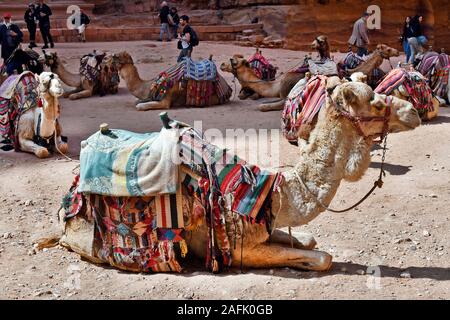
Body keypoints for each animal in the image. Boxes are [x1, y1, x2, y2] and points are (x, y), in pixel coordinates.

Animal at [53, 79, 422, 272]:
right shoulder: (242, 249)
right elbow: (323, 257)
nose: (413, 111)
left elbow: (309, 241)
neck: (275, 194)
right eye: (375, 102)